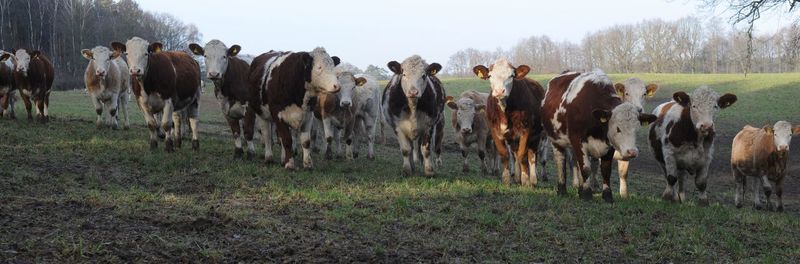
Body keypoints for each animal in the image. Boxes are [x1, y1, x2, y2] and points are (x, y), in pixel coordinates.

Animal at [472, 58, 548, 187]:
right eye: (490, 75)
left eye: (511, 75)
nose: (499, 91)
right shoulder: (495, 131)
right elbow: (505, 155)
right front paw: (507, 179)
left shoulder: (526, 130)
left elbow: (523, 155)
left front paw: (526, 180)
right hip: (513, 138)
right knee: (515, 154)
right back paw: (517, 177)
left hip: (536, 134)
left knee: (532, 155)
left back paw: (533, 179)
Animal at [540, 70, 660, 202]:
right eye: (618, 128)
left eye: (636, 129)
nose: (632, 152)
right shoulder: (578, 141)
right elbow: (586, 168)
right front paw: (587, 194)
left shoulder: (609, 145)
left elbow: (606, 170)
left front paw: (607, 195)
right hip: (556, 140)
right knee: (561, 160)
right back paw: (562, 189)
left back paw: (579, 189)